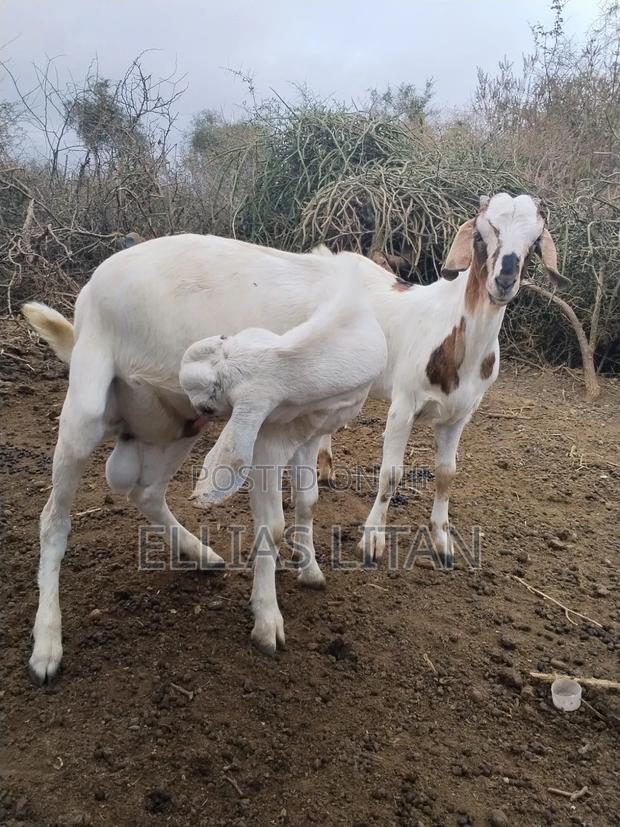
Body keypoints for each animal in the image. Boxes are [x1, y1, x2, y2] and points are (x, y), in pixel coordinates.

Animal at [22, 235, 386, 683]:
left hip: (177, 427)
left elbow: (308, 501)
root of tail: (88, 290)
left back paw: (201, 554)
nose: (187, 368)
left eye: (215, 400)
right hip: (87, 406)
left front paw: (311, 570)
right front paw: (267, 621)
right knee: (53, 520)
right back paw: (46, 644)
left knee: (146, 492)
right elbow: (272, 524)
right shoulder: (267, 439)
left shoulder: (309, 433)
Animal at [317, 193, 569, 561]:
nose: (504, 280)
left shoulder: (458, 415)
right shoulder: (403, 406)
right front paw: (372, 540)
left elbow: (446, 474)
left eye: (534, 242)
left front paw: (442, 541)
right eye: (479, 235)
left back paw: (325, 470)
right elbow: (391, 474)